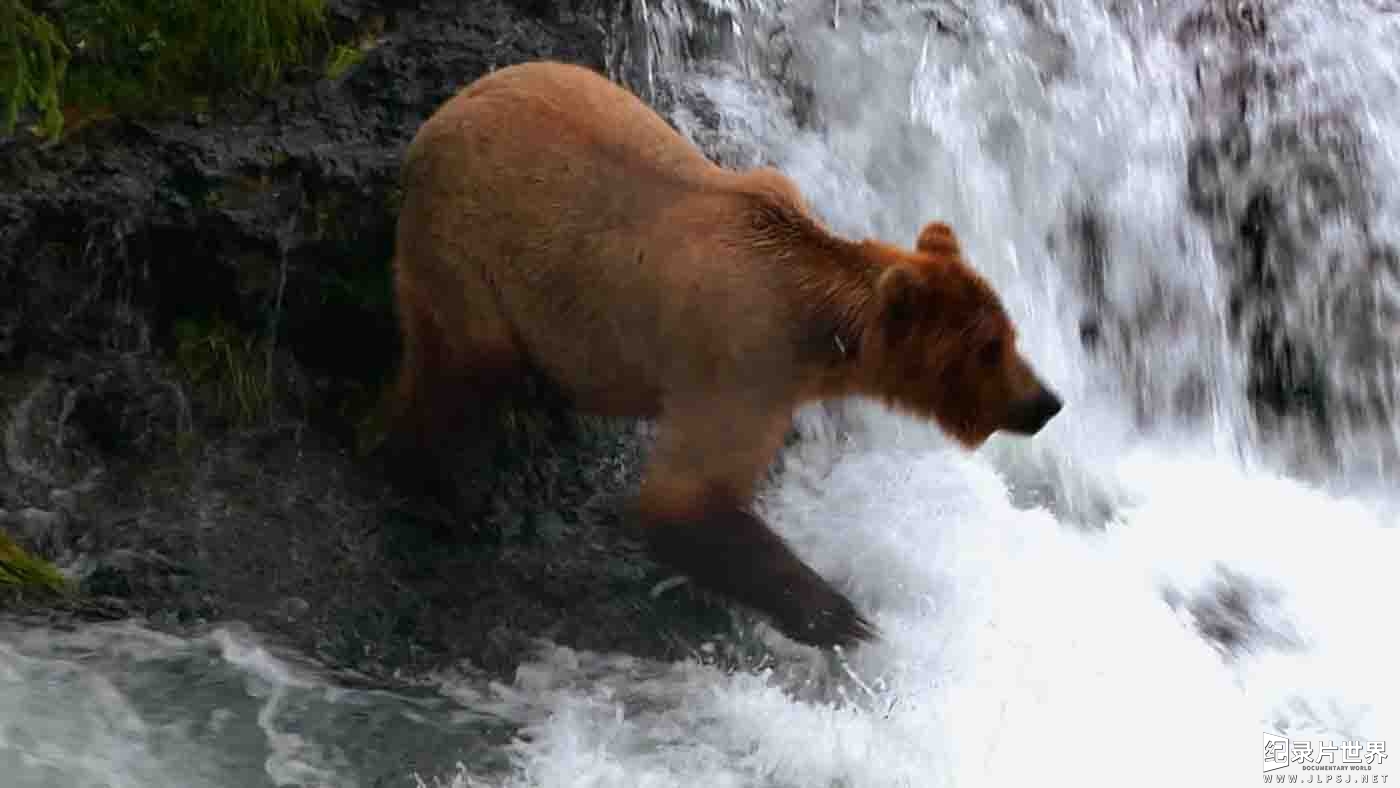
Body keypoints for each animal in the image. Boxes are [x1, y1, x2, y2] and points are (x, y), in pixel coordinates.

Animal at [380, 61, 1058, 649]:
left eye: (1010, 334)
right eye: (988, 349)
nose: (1045, 402)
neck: (815, 328)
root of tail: (430, 127)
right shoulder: (742, 362)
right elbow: (686, 496)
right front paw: (838, 614)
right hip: (466, 252)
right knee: (458, 373)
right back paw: (438, 487)